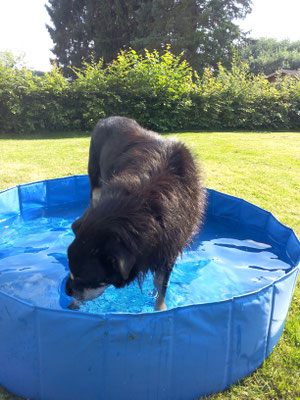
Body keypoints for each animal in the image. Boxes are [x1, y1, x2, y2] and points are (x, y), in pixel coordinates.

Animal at [65, 115, 206, 310]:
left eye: (87, 278)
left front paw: (159, 307)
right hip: (95, 182)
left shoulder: (170, 246)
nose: (66, 291)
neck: (145, 204)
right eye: (71, 269)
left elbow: (161, 285)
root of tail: (109, 118)